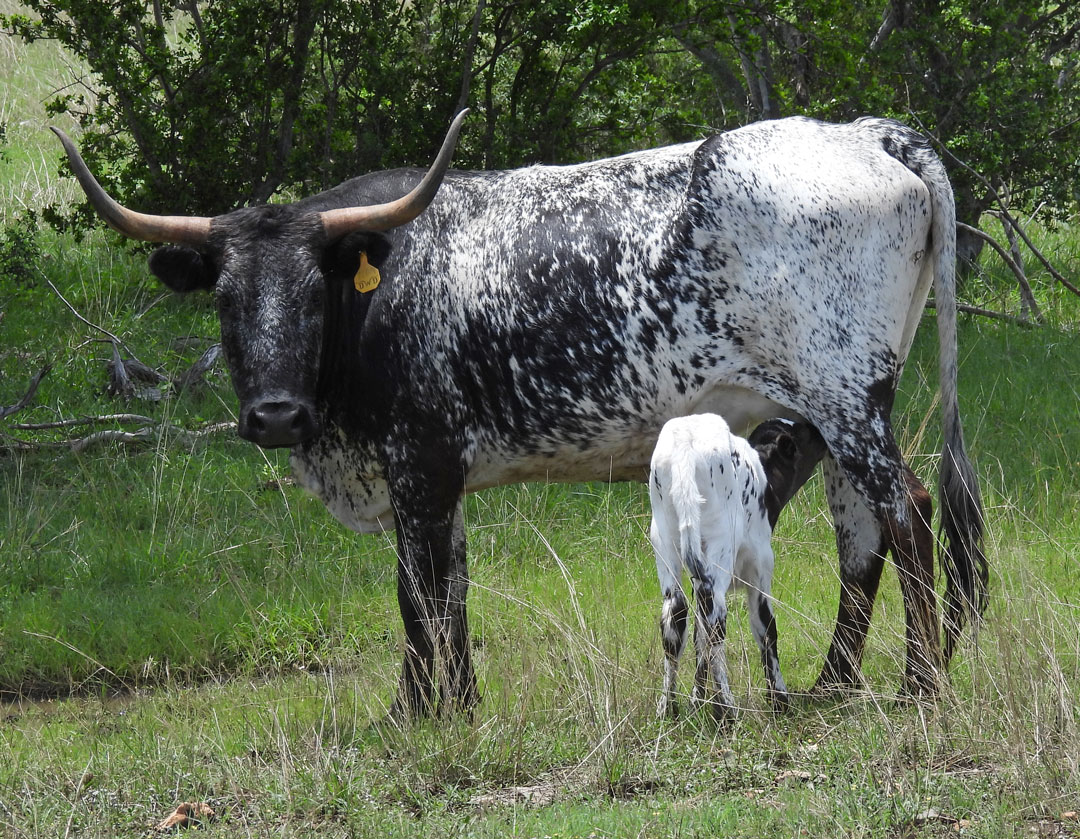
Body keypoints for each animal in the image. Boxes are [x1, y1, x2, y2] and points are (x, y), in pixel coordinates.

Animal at [648, 414, 825, 716]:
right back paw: (726, 710)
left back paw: (668, 707)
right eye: (804, 435)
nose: (822, 435)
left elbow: (698, 640)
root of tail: (685, 443)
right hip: (720, 546)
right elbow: (766, 630)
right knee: (715, 618)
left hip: (666, 543)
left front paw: (697, 701)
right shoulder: (760, 570)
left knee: (677, 616)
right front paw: (779, 700)